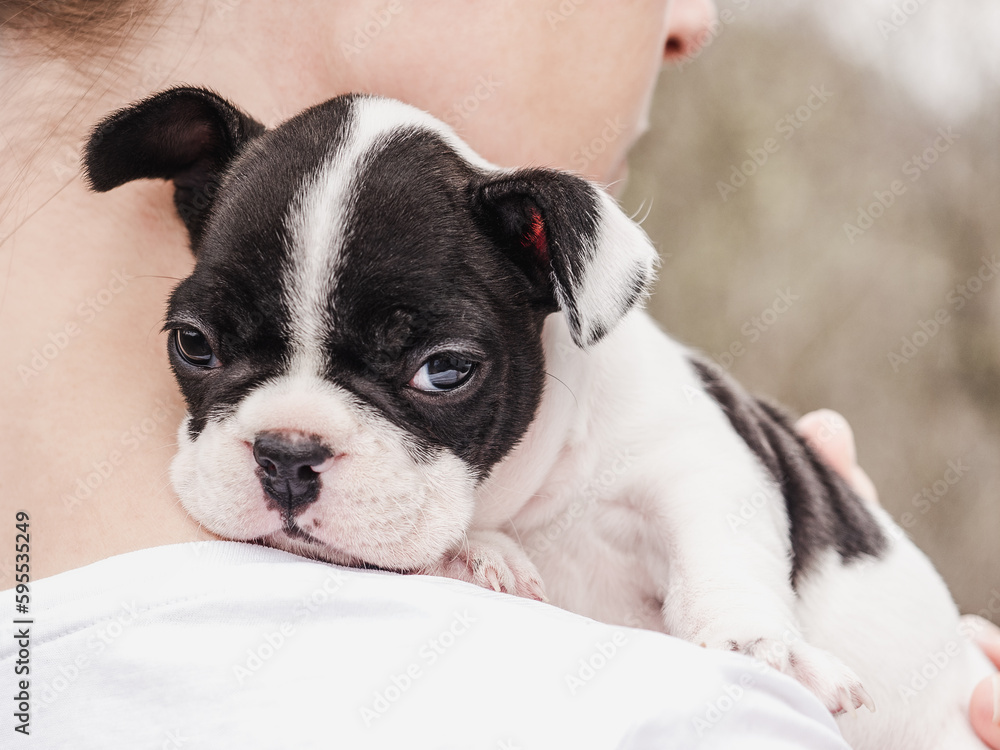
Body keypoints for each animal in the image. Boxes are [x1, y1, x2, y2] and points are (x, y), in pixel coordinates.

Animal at [86, 86, 992, 748]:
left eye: (444, 370)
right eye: (193, 343)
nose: (285, 452)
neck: (537, 495)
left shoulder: (703, 462)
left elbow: (724, 552)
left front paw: (761, 648)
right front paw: (474, 554)